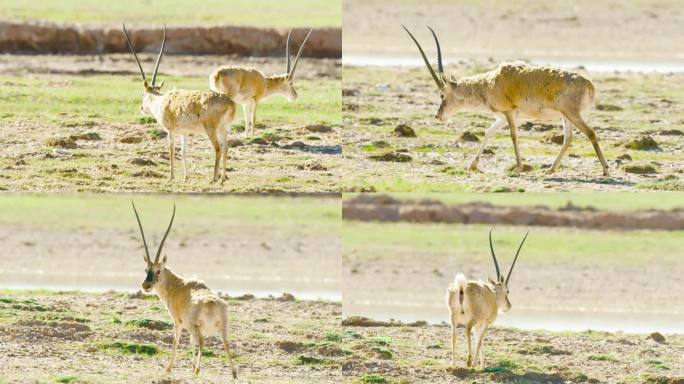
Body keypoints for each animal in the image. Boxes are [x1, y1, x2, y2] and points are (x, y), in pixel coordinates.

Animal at [123, 24, 238, 183]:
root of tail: (230, 102)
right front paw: (185, 177)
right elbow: (184, 151)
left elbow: (171, 150)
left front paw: (171, 177)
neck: (161, 100)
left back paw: (213, 179)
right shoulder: (184, 132)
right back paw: (222, 179)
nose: (142, 108)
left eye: (142, 93)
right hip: (224, 128)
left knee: (218, 148)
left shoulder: (170, 131)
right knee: (226, 148)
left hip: (212, 129)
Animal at [132, 202, 239, 376]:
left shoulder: (178, 321)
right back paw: (233, 373)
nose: (146, 285)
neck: (178, 285)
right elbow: (190, 342)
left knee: (201, 340)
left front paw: (169, 367)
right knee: (225, 342)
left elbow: (177, 340)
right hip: (222, 328)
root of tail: (211, 303)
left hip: (194, 326)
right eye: (145, 270)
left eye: (158, 271)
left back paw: (197, 370)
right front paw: (190, 365)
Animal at [400, 26, 608, 176]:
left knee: (590, 133)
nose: (438, 116)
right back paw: (551, 169)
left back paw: (605, 170)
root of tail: (588, 84)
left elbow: (513, 136)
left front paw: (518, 167)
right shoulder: (501, 117)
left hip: (572, 113)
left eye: (442, 95)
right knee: (568, 138)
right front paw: (472, 165)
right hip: (565, 115)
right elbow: (488, 132)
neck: (489, 83)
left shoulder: (509, 113)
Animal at [448, 230, 528, 368]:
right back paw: (469, 361)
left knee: (454, 335)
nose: (508, 306)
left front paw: (481, 364)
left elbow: (478, 340)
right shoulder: (485, 322)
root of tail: (462, 286)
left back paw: (453, 364)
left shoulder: (479, 324)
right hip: (473, 319)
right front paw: (478, 364)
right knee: (467, 328)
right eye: (507, 291)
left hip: (454, 317)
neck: (492, 294)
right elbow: (480, 340)